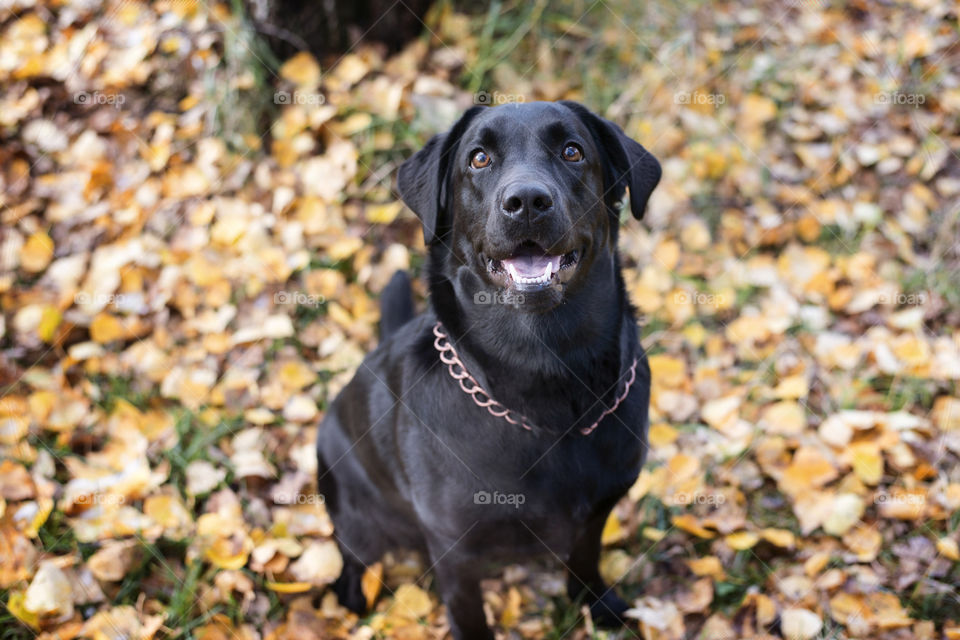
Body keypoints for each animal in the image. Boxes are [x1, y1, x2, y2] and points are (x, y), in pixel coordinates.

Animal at [316, 102, 660, 636]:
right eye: (478, 158)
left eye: (572, 151)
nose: (527, 201)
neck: (545, 376)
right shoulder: (454, 547)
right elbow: (468, 612)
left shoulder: (598, 509)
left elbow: (585, 559)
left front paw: (598, 607)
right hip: (356, 513)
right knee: (352, 554)